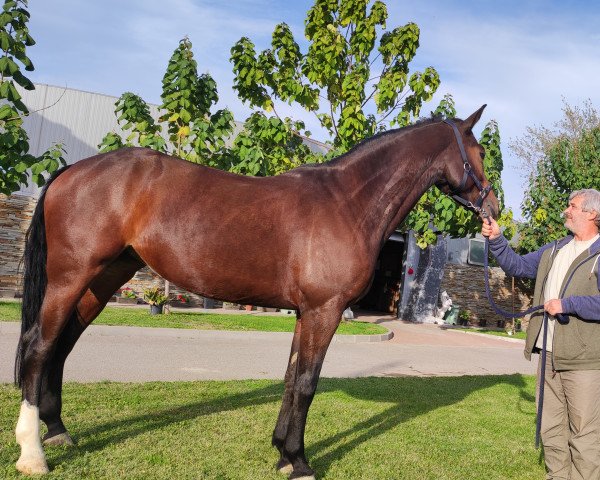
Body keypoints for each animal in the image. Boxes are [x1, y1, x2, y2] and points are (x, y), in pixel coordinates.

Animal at [15, 107, 502, 478]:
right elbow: (306, 382)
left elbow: (290, 377)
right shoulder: (324, 311)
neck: (347, 202)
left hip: (105, 277)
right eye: (480, 152)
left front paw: (283, 452)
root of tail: (72, 170)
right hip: (71, 276)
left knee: (62, 344)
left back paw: (57, 430)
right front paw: (301, 463)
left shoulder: (306, 312)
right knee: (40, 346)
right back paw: (33, 454)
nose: (494, 209)